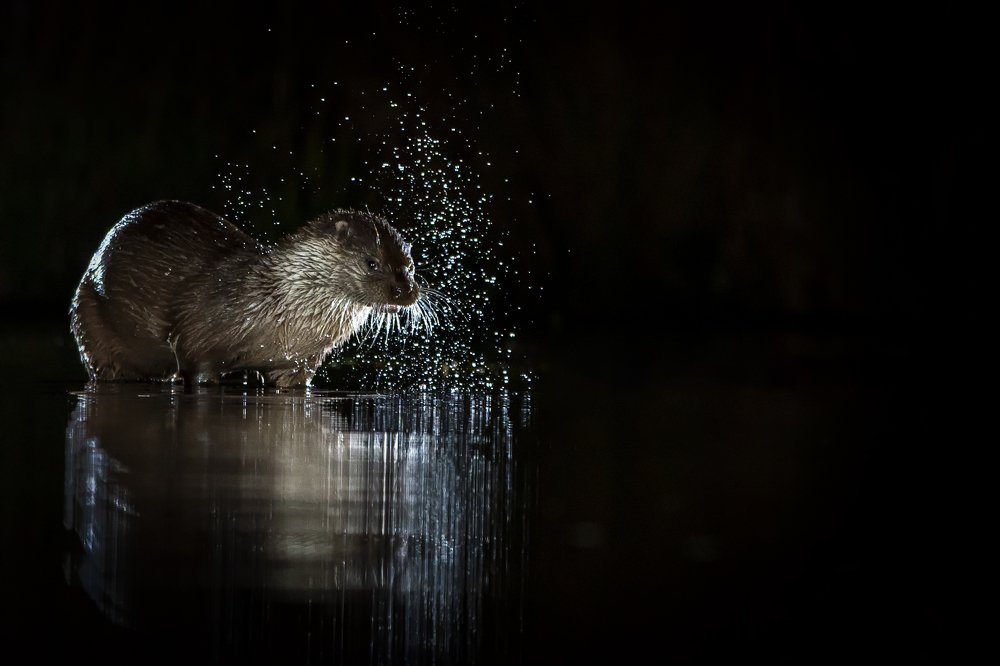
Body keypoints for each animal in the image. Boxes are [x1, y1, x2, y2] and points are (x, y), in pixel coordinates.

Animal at [70, 200, 423, 387]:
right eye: (371, 262)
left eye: (409, 264)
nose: (406, 292)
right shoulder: (197, 347)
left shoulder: (299, 365)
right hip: (88, 319)